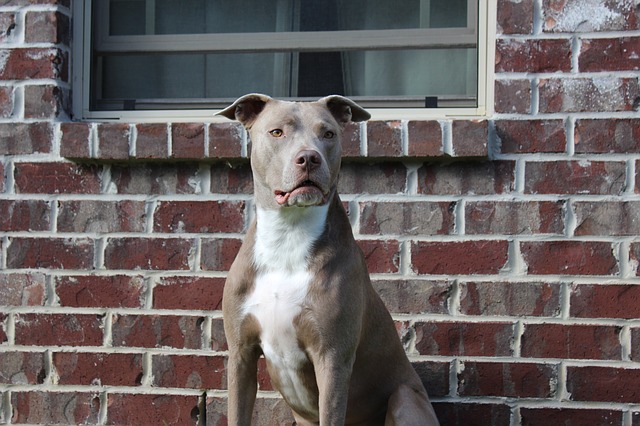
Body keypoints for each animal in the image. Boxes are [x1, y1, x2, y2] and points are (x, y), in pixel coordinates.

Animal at [220, 94, 440, 426]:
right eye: (277, 132)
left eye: (328, 134)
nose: (309, 158)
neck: (288, 237)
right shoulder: (240, 355)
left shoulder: (332, 358)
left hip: (406, 398)